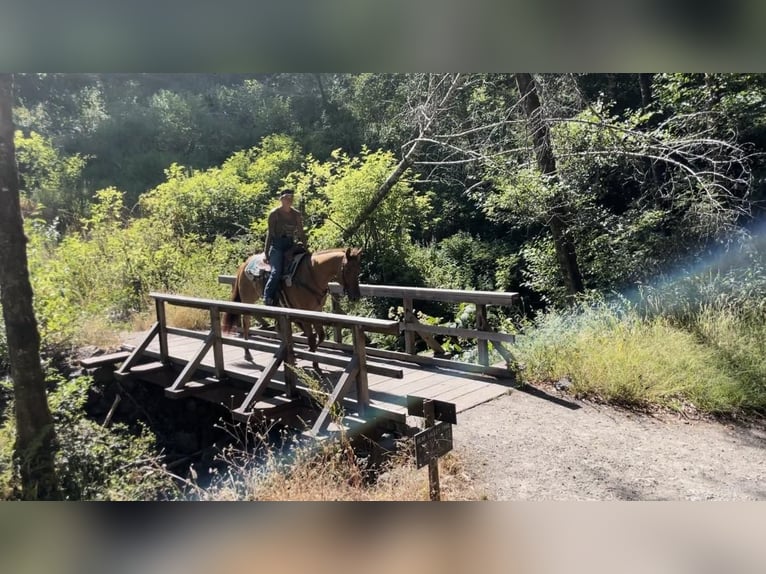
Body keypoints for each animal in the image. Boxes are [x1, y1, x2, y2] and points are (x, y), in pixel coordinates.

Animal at [222, 247, 363, 362]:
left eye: (358, 270)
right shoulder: (304, 313)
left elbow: (321, 336)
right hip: (248, 300)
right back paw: (247, 353)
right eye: (347, 269)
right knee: (246, 323)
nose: (355, 296)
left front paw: (306, 352)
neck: (312, 275)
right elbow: (311, 338)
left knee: (279, 327)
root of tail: (244, 263)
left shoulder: (316, 310)